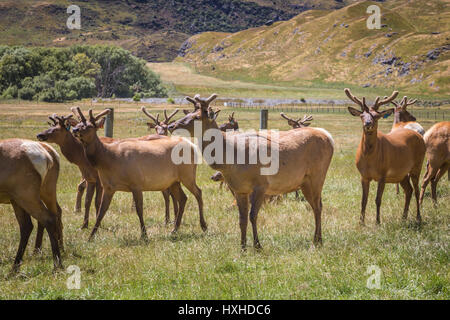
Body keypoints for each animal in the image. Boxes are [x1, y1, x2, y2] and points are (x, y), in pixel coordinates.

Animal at [0, 139, 63, 272]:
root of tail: (48, 156)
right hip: (27, 197)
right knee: (29, 225)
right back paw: (15, 267)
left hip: (26, 196)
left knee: (47, 219)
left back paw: (57, 265)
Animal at [72, 107, 207, 240]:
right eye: (78, 123)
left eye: (90, 126)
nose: (74, 129)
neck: (108, 161)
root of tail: (193, 147)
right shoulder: (108, 187)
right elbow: (101, 211)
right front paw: (90, 237)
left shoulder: (136, 183)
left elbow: (139, 210)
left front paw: (144, 234)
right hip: (174, 180)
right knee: (183, 198)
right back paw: (174, 229)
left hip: (188, 174)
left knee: (198, 192)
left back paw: (203, 225)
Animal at [169, 92, 334, 248]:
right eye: (188, 113)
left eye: (197, 117)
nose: (171, 126)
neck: (231, 159)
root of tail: (329, 137)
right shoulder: (239, 189)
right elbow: (241, 219)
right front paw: (242, 247)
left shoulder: (261, 185)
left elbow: (253, 215)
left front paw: (257, 245)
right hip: (305, 182)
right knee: (315, 205)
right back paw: (317, 239)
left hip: (317, 176)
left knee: (318, 206)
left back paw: (317, 241)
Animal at [344, 88, 426, 225]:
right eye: (362, 115)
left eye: (376, 116)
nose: (368, 123)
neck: (369, 159)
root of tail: (419, 135)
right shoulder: (363, 176)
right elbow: (363, 200)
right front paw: (361, 223)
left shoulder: (383, 174)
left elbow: (378, 199)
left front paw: (378, 222)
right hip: (402, 173)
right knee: (408, 190)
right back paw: (404, 217)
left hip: (417, 165)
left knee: (416, 190)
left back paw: (418, 217)